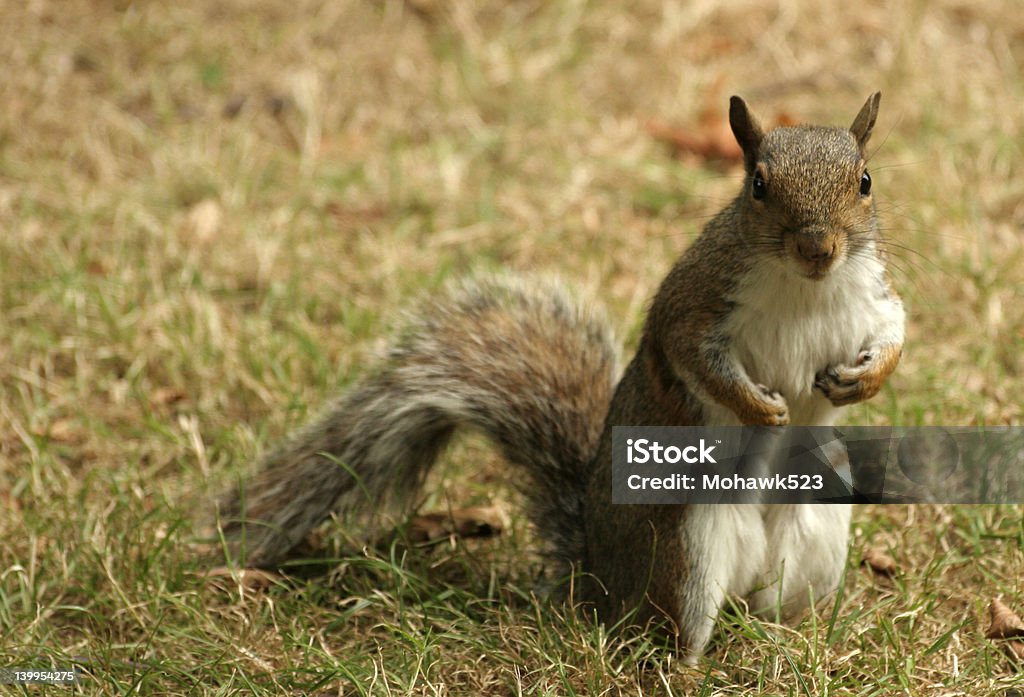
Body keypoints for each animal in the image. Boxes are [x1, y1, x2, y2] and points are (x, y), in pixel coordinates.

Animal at [216, 92, 905, 663]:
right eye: (758, 186)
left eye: (865, 182)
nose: (818, 248)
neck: (805, 288)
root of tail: (597, 576)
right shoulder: (694, 306)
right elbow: (697, 361)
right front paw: (761, 409)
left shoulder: (873, 299)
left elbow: (896, 332)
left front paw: (863, 381)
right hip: (683, 551)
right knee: (665, 633)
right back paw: (692, 666)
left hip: (817, 533)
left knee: (771, 606)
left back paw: (793, 640)